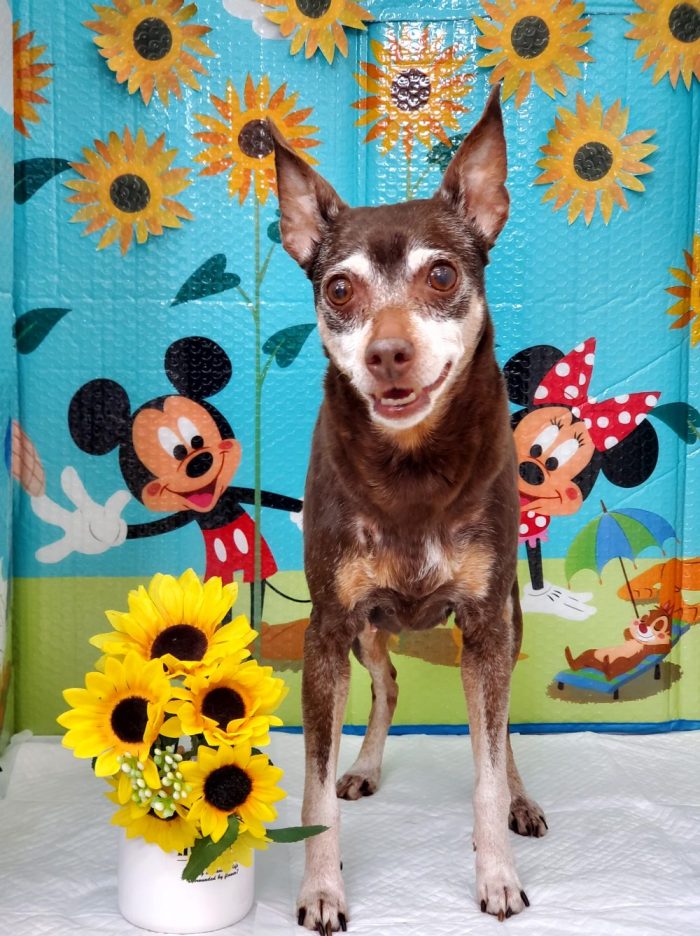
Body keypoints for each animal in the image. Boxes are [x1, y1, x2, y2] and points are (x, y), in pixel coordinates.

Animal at [271, 87, 546, 932]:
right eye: (339, 289)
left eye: (442, 275)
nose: (386, 353)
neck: (413, 467)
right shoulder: (328, 631)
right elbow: (315, 791)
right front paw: (321, 887)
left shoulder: (485, 626)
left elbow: (487, 761)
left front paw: (497, 874)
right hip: (365, 626)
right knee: (388, 683)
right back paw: (364, 765)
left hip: (505, 622)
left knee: (500, 730)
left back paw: (521, 798)